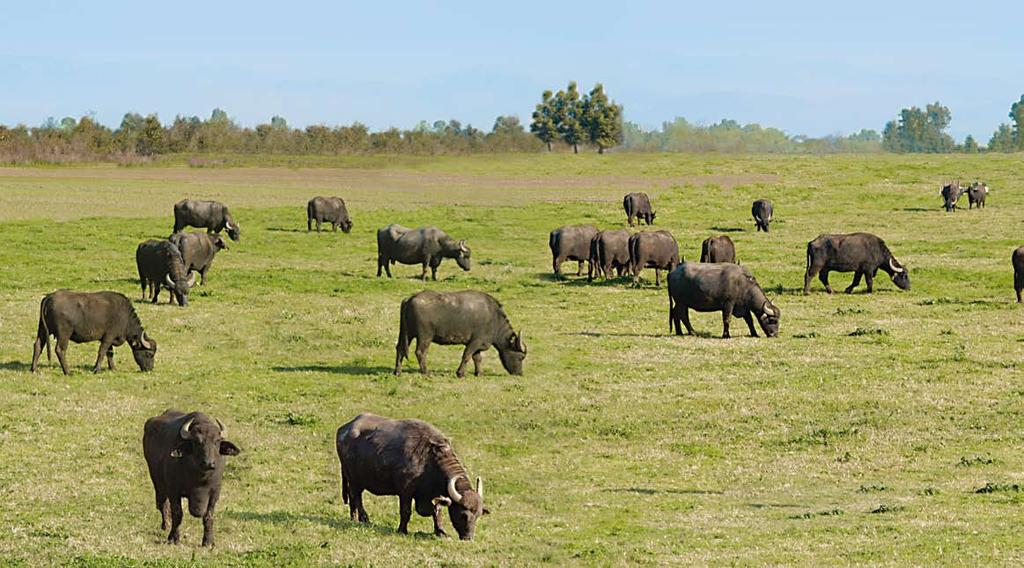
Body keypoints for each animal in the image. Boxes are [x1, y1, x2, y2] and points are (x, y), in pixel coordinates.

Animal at [143, 411, 240, 548]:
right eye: (197, 442)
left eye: (217, 442)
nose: (209, 463)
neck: (200, 479)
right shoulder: (174, 491)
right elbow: (177, 513)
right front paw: (174, 538)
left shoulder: (215, 493)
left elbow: (208, 516)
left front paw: (208, 541)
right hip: (157, 482)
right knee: (162, 504)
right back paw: (166, 525)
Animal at [335, 413, 487, 540]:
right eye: (463, 514)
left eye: (478, 515)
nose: (468, 537)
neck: (429, 459)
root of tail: (344, 429)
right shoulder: (405, 491)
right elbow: (406, 511)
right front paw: (402, 530)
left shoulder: (433, 495)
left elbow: (437, 512)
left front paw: (441, 531)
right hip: (353, 479)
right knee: (356, 497)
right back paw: (364, 519)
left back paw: (354, 518)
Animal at [393, 290, 528, 380]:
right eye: (521, 357)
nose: (520, 373)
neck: (494, 319)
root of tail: (410, 299)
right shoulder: (475, 342)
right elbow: (467, 355)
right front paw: (460, 373)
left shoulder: (478, 345)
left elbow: (477, 358)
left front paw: (479, 373)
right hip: (425, 336)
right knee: (420, 352)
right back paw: (426, 372)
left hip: (406, 334)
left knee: (400, 349)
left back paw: (397, 372)